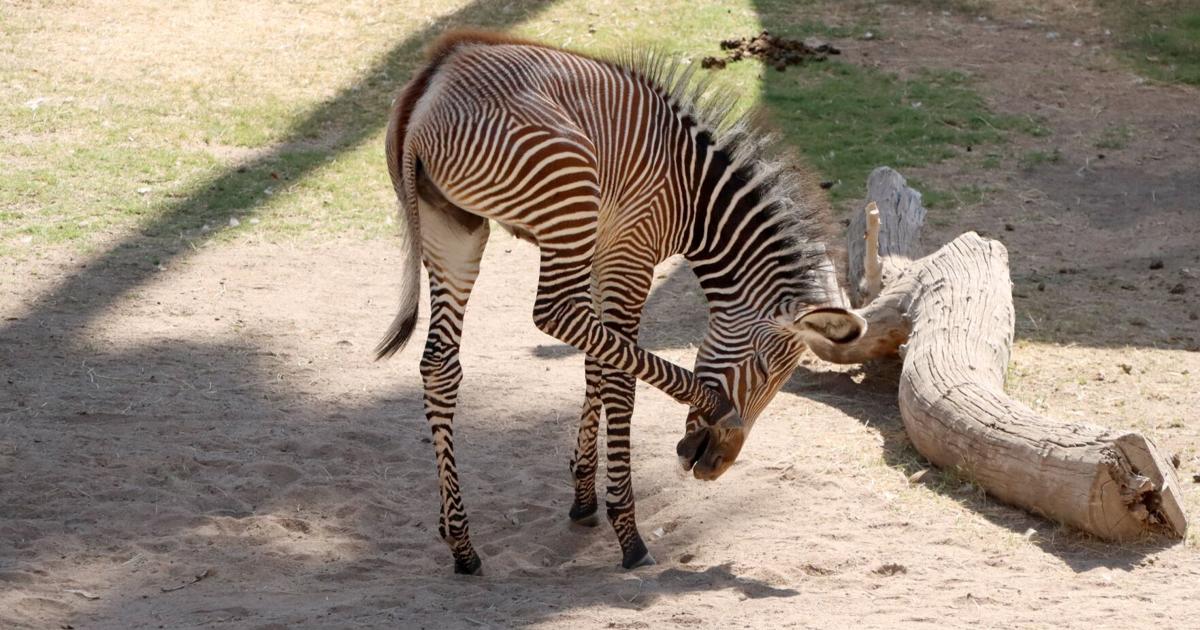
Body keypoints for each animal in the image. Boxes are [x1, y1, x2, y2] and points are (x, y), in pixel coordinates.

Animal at [377, 31, 866, 575]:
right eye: (763, 368)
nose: (714, 468)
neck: (696, 200)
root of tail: (432, 83)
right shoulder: (631, 253)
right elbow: (618, 378)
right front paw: (626, 530)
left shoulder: (603, 250)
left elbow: (598, 361)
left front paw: (583, 496)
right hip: (565, 206)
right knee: (552, 314)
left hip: (455, 227)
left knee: (440, 364)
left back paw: (460, 540)